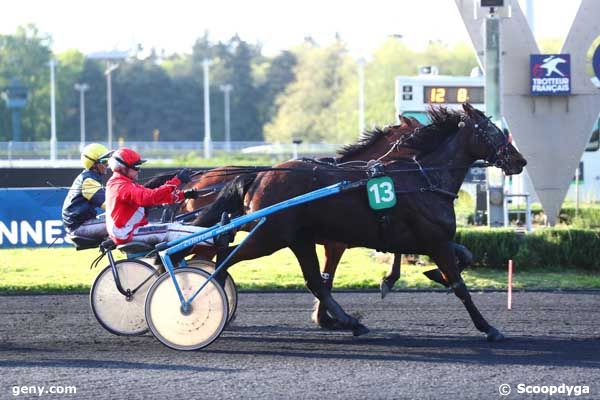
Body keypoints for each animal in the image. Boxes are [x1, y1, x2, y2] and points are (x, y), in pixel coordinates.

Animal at [192, 104, 524, 340]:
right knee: (224, 257)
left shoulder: (425, 240)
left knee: (311, 281)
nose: (520, 161)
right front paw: (488, 327)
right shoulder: (434, 241)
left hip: (297, 240)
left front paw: (422, 276)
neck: (422, 179)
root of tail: (259, 176)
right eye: (492, 131)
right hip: (269, 237)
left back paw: (351, 322)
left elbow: (463, 255)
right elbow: (459, 285)